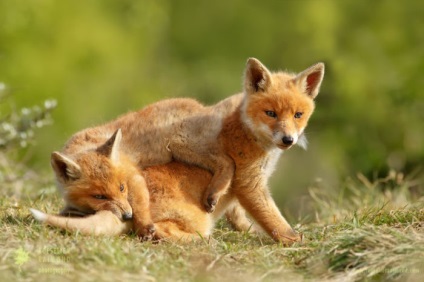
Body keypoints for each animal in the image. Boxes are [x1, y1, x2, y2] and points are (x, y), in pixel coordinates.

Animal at [33, 57, 324, 245]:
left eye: (298, 115)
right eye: (271, 113)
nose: (288, 139)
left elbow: (239, 217)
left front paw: (248, 231)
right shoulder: (249, 184)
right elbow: (273, 219)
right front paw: (293, 240)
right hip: (182, 150)